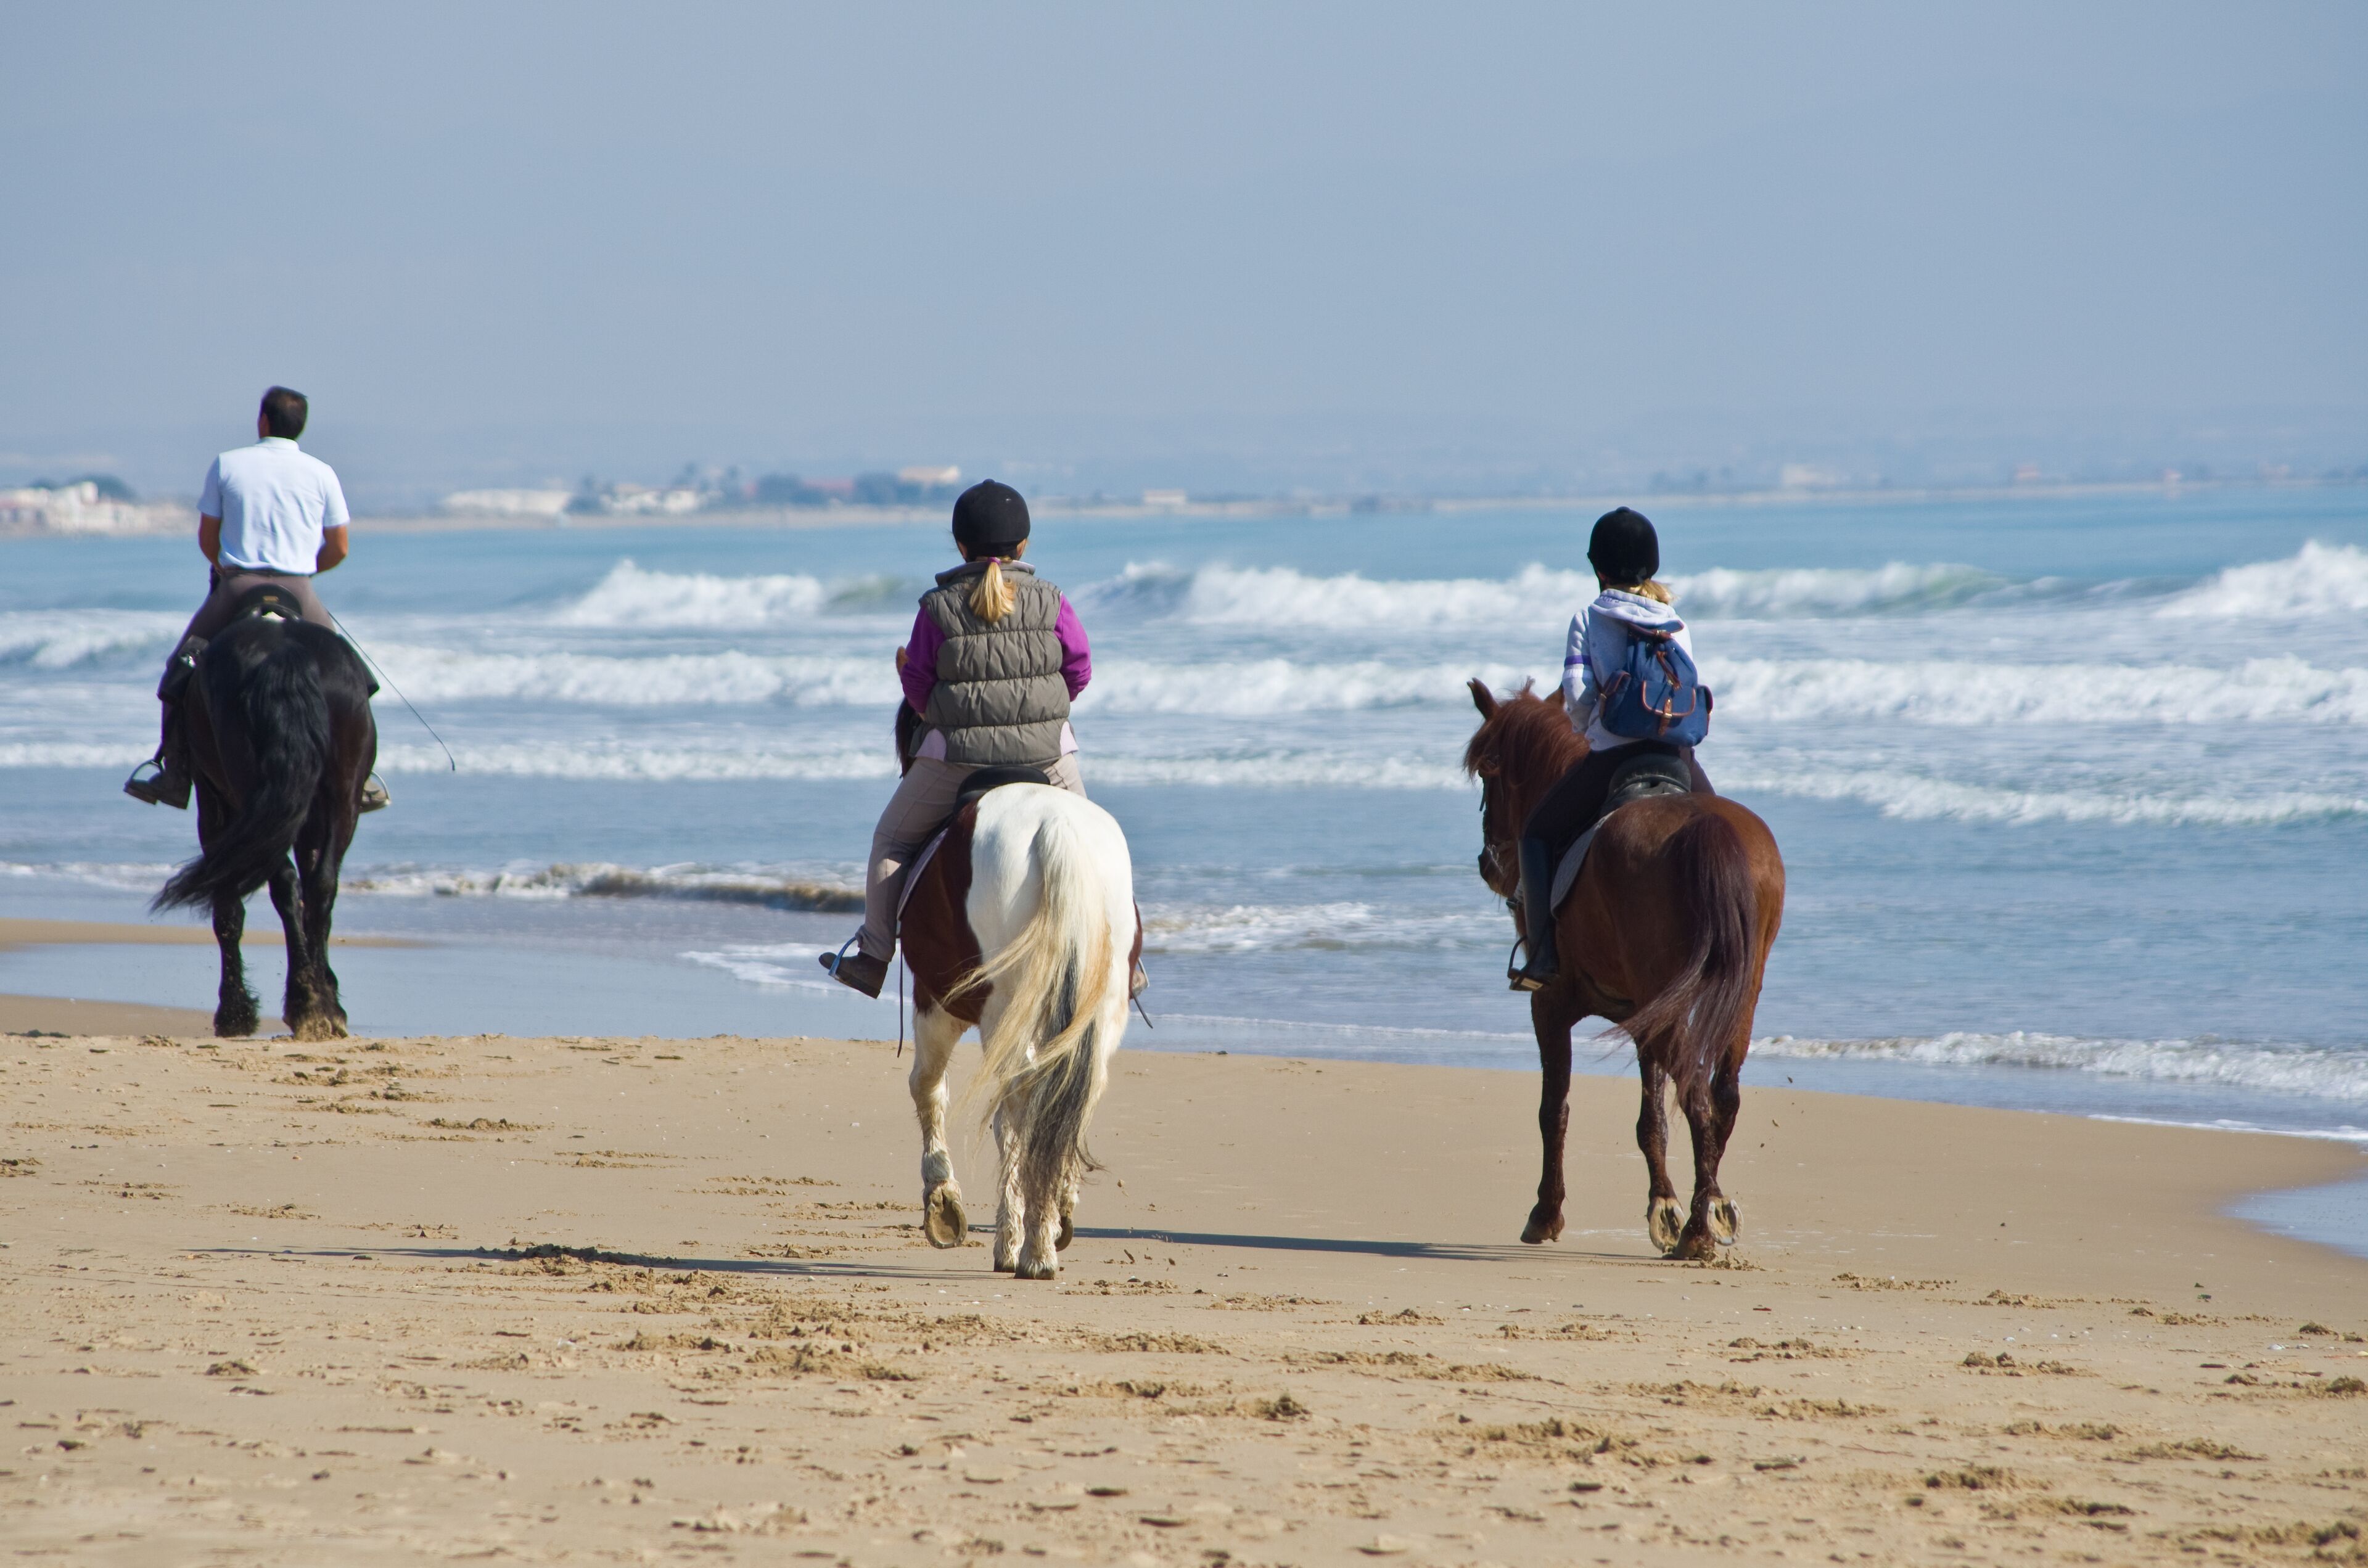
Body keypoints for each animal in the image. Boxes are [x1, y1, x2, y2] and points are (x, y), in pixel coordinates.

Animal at [152, 610, 378, 1041]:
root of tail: (286, 651)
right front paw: (325, 987)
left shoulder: (214, 807)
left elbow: (228, 912)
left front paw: (234, 1012)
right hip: (340, 797)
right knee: (320, 885)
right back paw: (320, 1006)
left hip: (246, 796)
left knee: (284, 884)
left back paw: (303, 1004)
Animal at [892, 773, 1139, 1280]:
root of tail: (1056, 827)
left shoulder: (934, 999)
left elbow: (927, 1087)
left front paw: (942, 1198)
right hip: (1100, 1012)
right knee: (1070, 1097)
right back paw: (1048, 1224)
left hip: (1002, 1010)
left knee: (1016, 1111)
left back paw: (1026, 1247)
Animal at [1463, 679, 1784, 1260]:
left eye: (1489, 768)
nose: (1489, 864)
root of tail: (1705, 827)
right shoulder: (1643, 1015)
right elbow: (1651, 1120)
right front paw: (1665, 1206)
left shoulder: (1549, 1003)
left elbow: (1554, 1108)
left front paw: (1546, 1213)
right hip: (1738, 994)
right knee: (1722, 1094)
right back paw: (1706, 1214)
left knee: (1697, 1093)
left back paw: (1699, 1229)